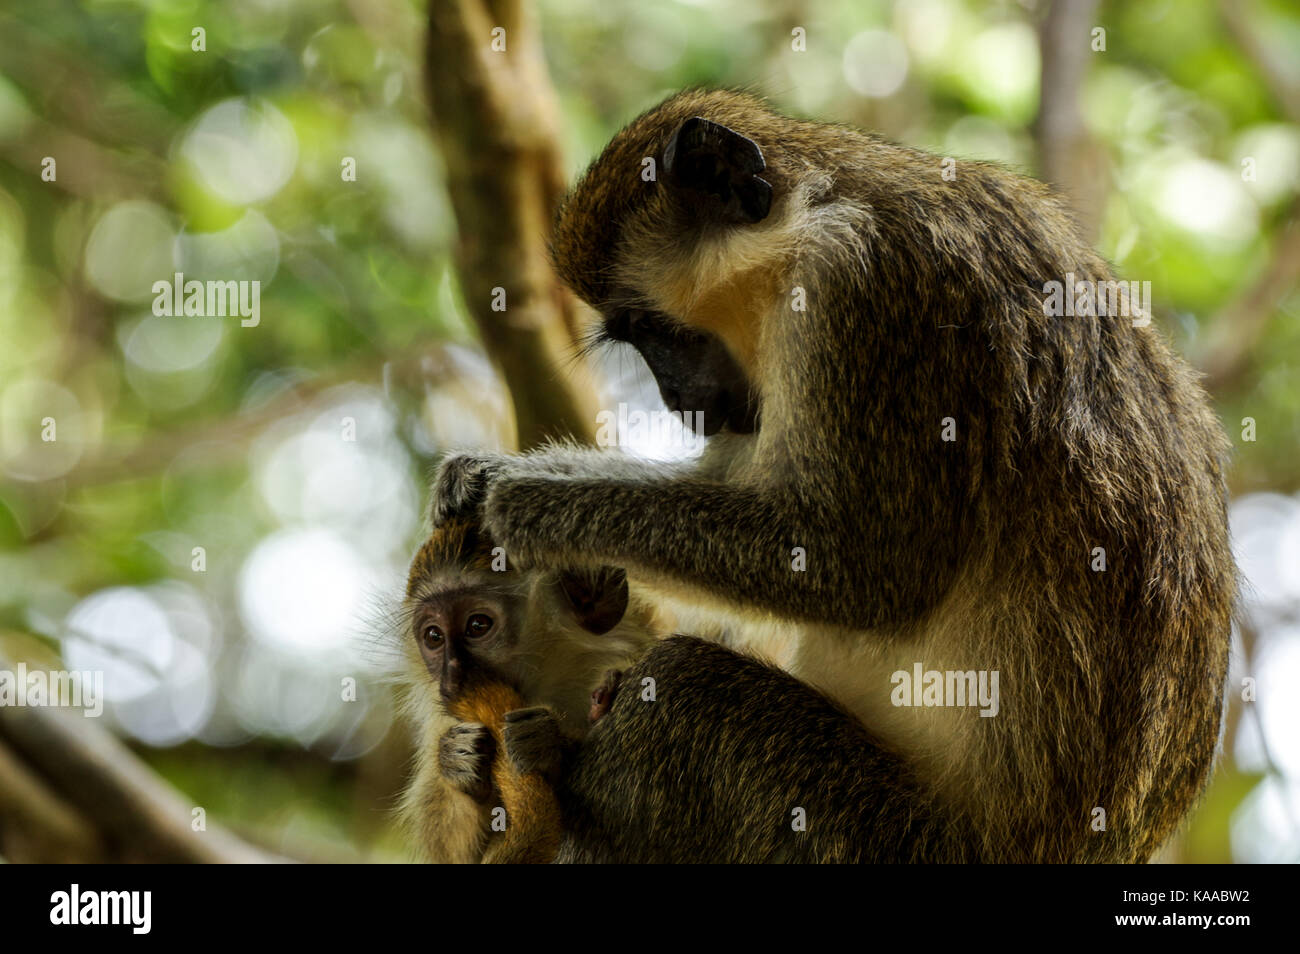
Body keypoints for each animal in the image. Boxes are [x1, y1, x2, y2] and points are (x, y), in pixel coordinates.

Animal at [434, 89, 1227, 868]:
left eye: (654, 328)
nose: (679, 399)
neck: (817, 209)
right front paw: (491, 475)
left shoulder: (865, 290)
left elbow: (860, 567)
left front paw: (534, 507)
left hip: (872, 837)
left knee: (686, 691)